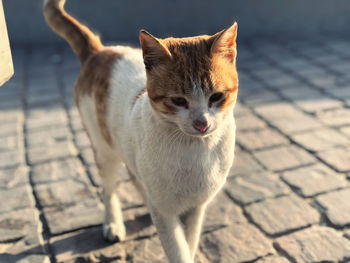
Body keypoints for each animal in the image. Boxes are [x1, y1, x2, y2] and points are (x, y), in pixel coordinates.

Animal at [42, 1, 237, 262]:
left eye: (216, 97)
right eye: (178, 100)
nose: (201, 123)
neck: (196, 151)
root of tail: (99, 51)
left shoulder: (196, 208)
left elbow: (190, 242)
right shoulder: (165, 212)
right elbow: (178, 250)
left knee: (135, 176)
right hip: (104, 149)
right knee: (110, 187)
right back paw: (113, 223)